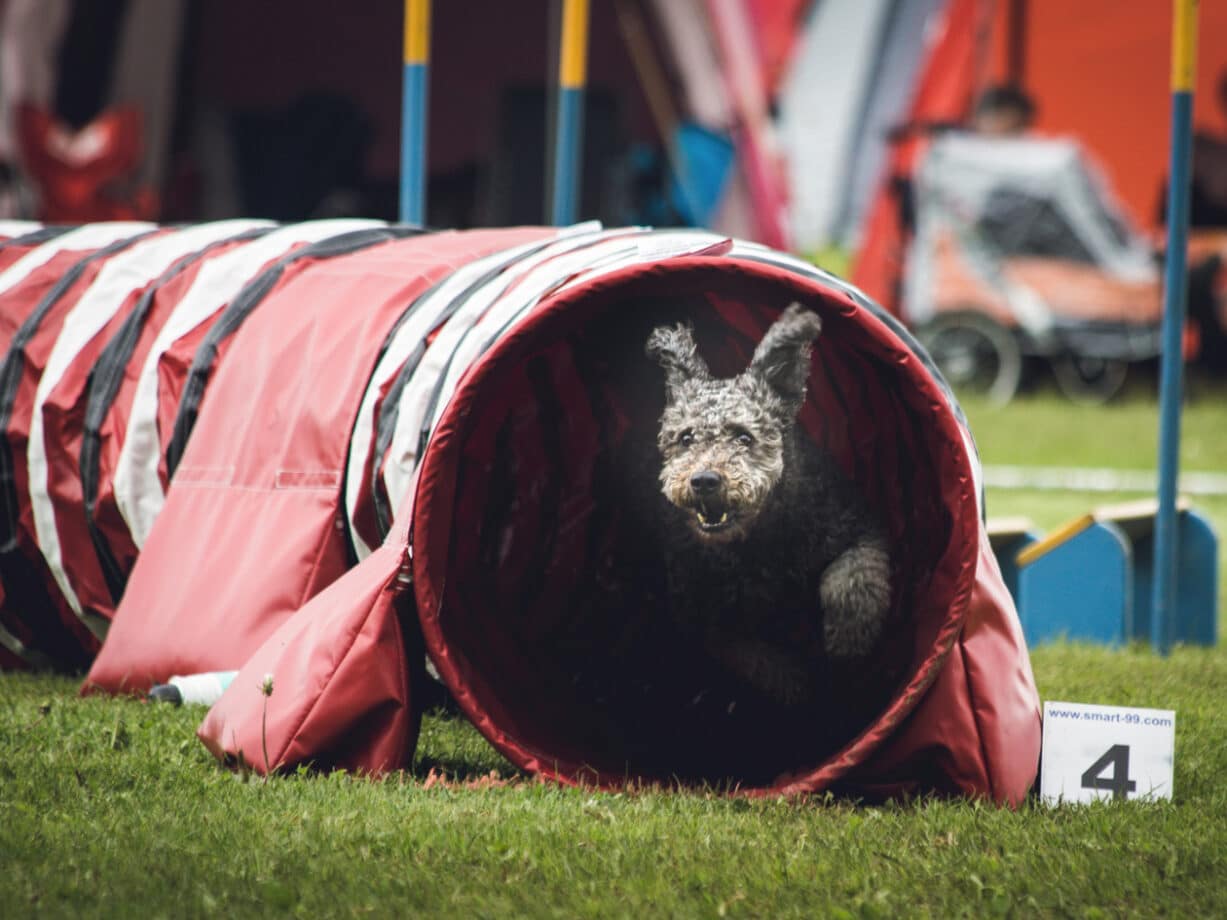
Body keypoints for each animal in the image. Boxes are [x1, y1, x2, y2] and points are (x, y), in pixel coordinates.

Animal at [642, 302, 893, 706]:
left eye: (744, 437)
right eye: (686, 438)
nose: (705, 481)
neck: (758, 539)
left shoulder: (858, 528)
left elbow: (851, 580)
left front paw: (848, 642)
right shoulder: (703, 612)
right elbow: (751, 656)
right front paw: (794, 682)